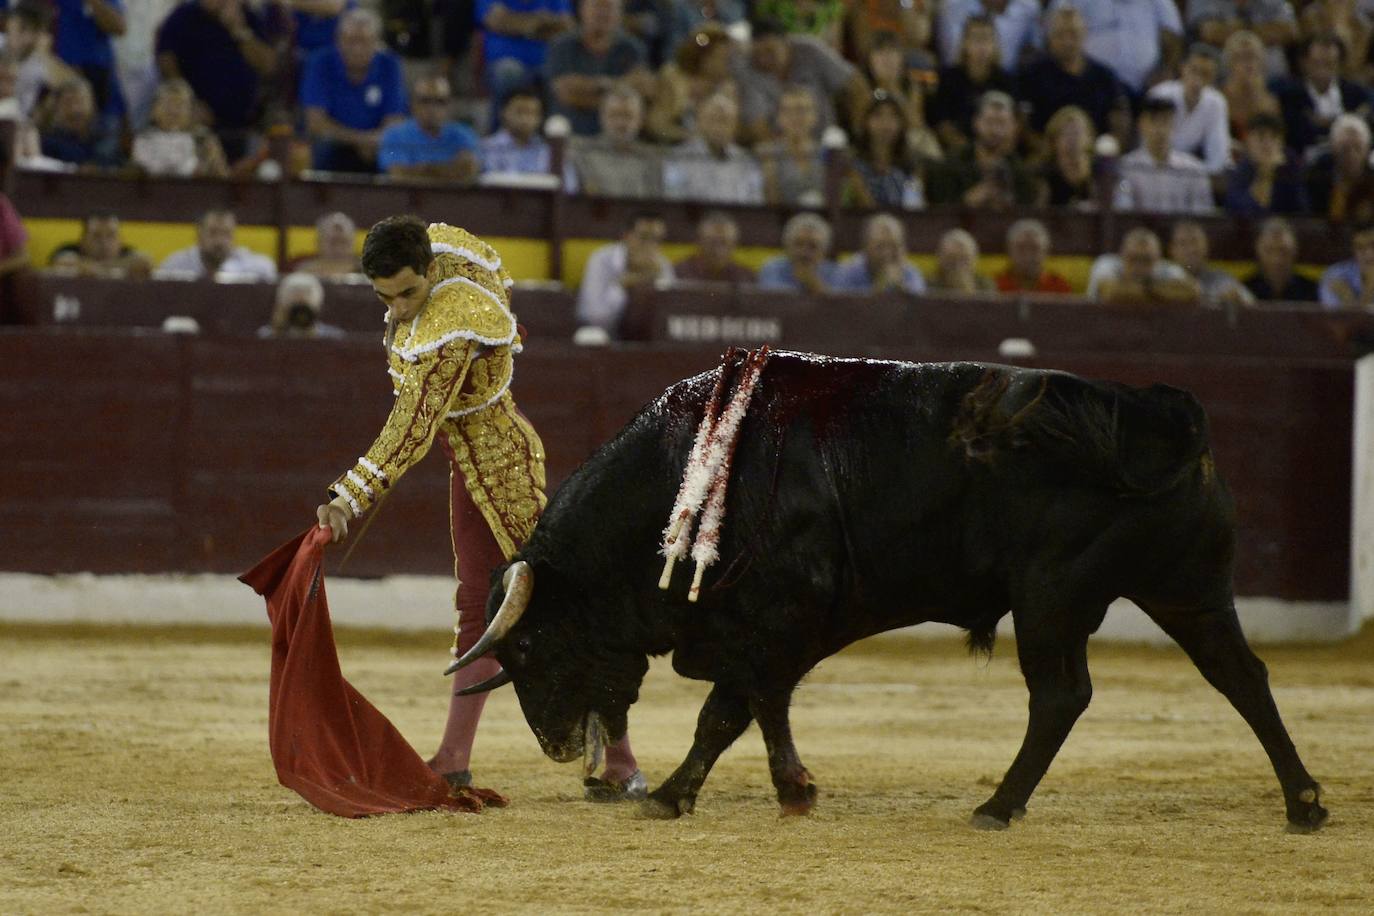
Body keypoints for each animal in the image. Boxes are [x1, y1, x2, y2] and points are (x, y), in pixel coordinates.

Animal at [456, 354, 1324, 829]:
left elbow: (733, 711)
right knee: (1241, 676)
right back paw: (1305, 801)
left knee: (1061, 695)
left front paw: (688, 795)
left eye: (530, 644)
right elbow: (755, 710)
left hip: (1050, 598)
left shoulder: (778, 619)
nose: (555, 744)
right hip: (1188, 589)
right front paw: (778, 790)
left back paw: (997, 806)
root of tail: (1155, 412)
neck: (689, 479)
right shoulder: (765, 635)